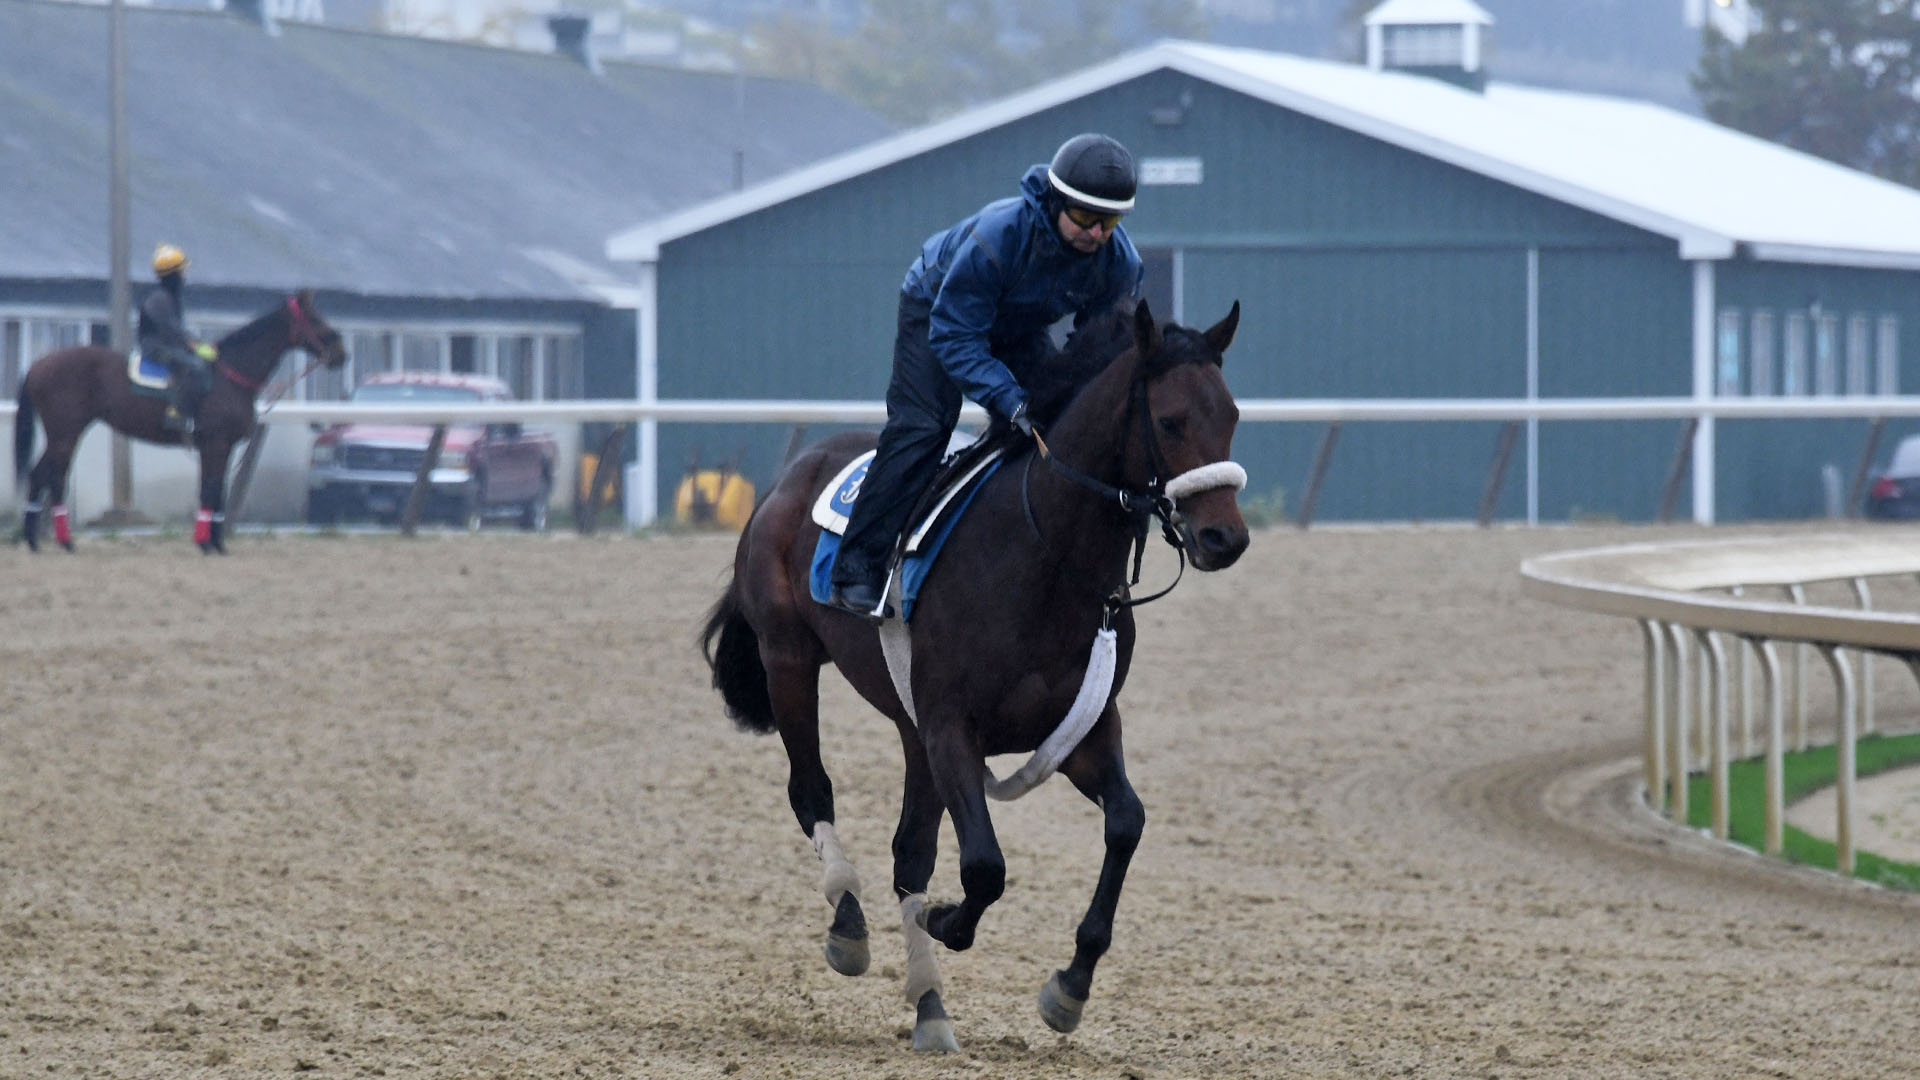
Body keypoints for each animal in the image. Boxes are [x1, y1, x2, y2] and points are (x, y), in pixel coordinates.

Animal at [15, 288, 347, 549]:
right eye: (315, 319)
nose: (341, 353)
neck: (229, 376)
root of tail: (38, 365)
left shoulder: (218, 447)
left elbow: (215, 490)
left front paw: (214, 542)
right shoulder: (216, 443)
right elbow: (210, 489)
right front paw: (207, 542)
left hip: (62, 433)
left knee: (39, 474)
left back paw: (34, 540)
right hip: (66, 432)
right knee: (52, 477)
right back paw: (62, 540)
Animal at [698, 297, 1251, 1045]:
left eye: (1232, 416)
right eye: (1170, 421)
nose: (1226, 538)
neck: (1045, 559)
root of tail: (795, 471)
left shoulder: (1082, 729)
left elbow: (1126, 823)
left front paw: (1070, 986)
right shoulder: (951, 728)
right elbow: (985, 866)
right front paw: (944, 920)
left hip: (907, 725)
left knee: (909, 851)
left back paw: (930, 1007)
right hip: (788, 658)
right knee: (812, 791)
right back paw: (850, 926)